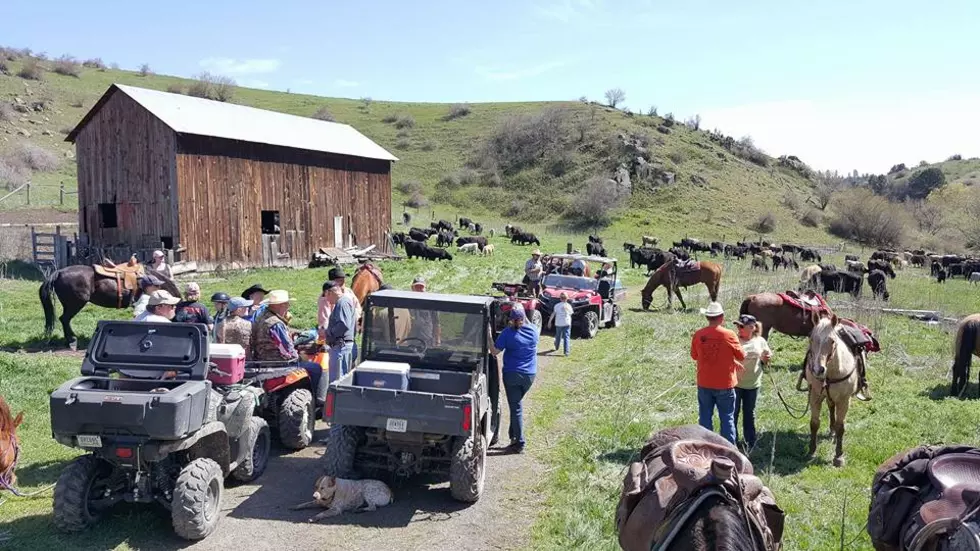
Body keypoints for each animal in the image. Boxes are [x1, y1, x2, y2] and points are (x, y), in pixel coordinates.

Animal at [804, 312, 856, 468]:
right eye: (811, 338)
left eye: (832, 341)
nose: (818, 370)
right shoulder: (815, 396)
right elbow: (814, 423)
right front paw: (811, 451)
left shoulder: (844, 400)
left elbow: (841, 427)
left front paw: (839, 456)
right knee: (831, 406)